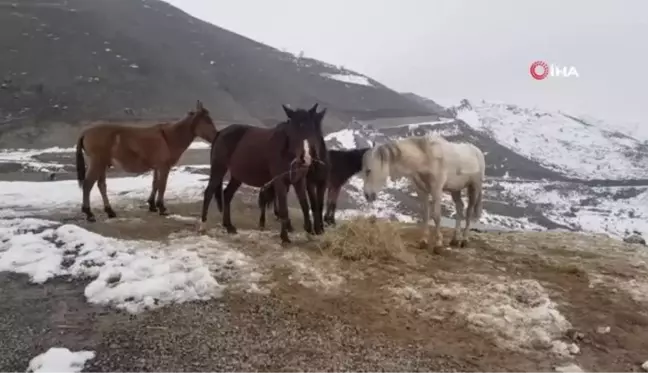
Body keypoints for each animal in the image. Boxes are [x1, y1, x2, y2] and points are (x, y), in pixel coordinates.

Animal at [75, 100, 218, 221]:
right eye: (207, 121)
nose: (217, 136)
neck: (169, 137)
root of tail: (85, 132)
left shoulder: (156, 167)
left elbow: (155, 184)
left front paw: (152, 205)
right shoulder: (164, 166)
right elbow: (162, 185)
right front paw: (161, 207)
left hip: (102, 164)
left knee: (101, 185)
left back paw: (110, 211)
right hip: (97, 163)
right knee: (88, 185)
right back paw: (89, 213)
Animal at [200, 103, 324, 243]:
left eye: (311, 129)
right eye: (293, 131)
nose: (305, 158)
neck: (287, 152)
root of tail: (220, 133)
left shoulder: (299, 181)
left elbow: (304, 205)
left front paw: (309, 232)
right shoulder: (280, 182)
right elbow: (283, 209)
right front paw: (285, 238)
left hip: (237, 176)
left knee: (227, 194)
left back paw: (229, 226)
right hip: (218, 169)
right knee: (209, 193)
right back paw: (203, 226)